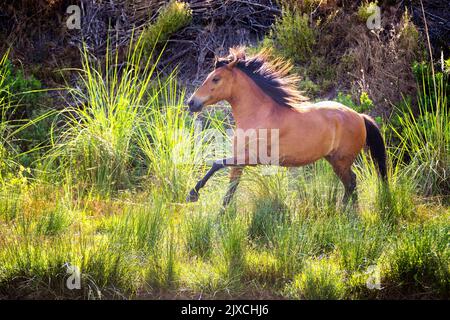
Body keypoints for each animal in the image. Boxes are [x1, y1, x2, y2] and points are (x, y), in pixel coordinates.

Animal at [185, 47, 386, 208]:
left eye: (216, 79)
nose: (191, 103)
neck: (258, 114)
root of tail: (359, 117)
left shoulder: (252, 157)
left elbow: (216, 164)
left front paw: (192, 194)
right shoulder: (239, 160)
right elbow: (230, 190)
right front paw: (220, 217)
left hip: (341, 161)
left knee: (351, 183)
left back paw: (344, 211)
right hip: (334, 160)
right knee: (351, 183)